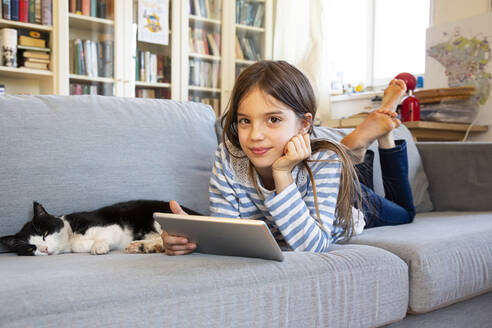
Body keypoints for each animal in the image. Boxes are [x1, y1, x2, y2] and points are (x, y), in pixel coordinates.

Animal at [0, 200, 200, 256]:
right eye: (30, 248)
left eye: (44, 234)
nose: (43, 249)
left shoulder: (111, 225)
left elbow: (103, 236)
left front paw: (98, 247)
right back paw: (143, 246)